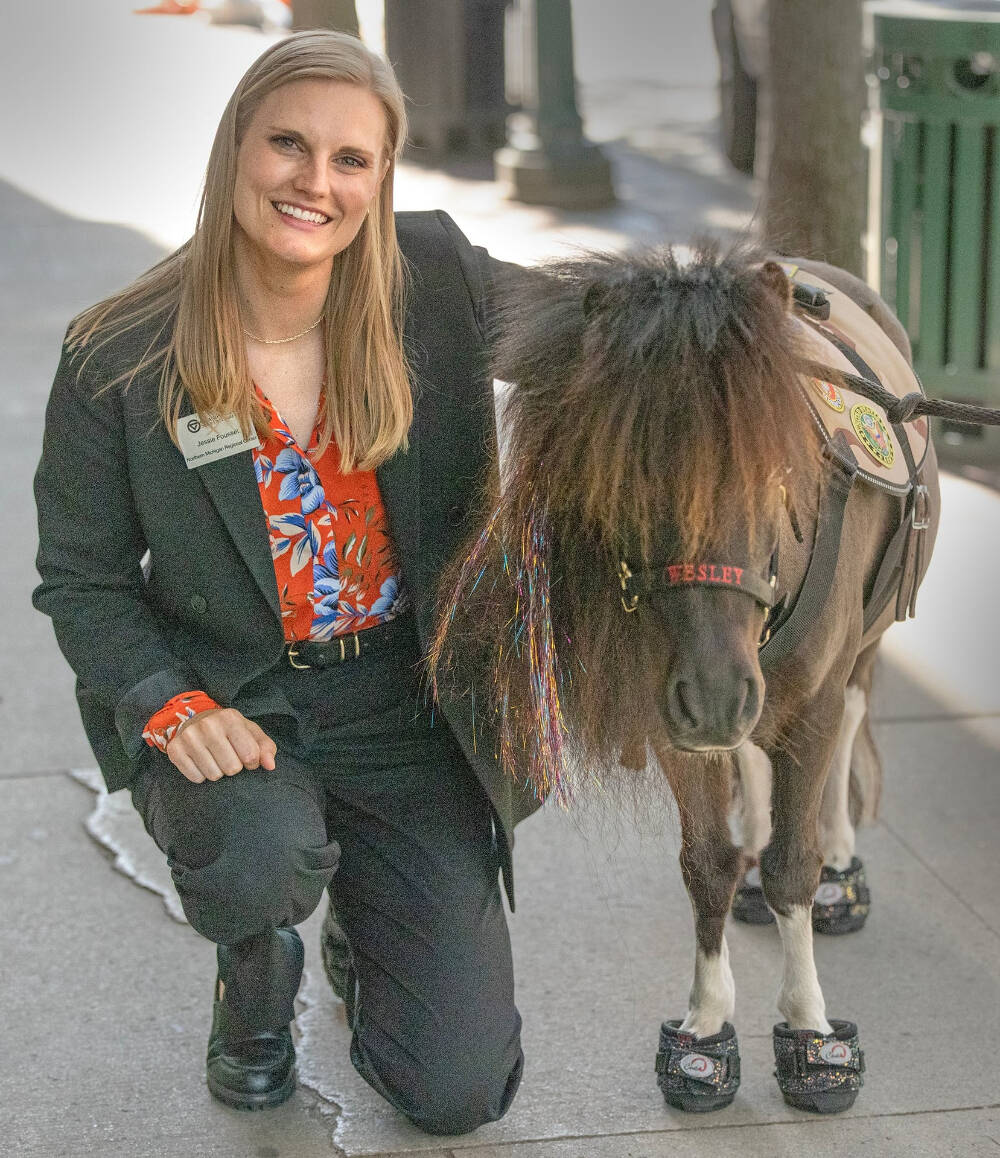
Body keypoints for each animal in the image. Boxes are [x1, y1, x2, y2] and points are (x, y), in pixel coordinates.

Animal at [426, 240, 940, 1114]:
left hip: (861, 649)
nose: (717, 695)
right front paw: (704, 1031)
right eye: (624, 488)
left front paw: (811, 1032)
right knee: (752, 759)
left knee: (848, 724)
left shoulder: (808, 698)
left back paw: (841, 867)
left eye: (778, 479)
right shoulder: (674, 714)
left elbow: (796, 863)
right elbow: (706, 864)